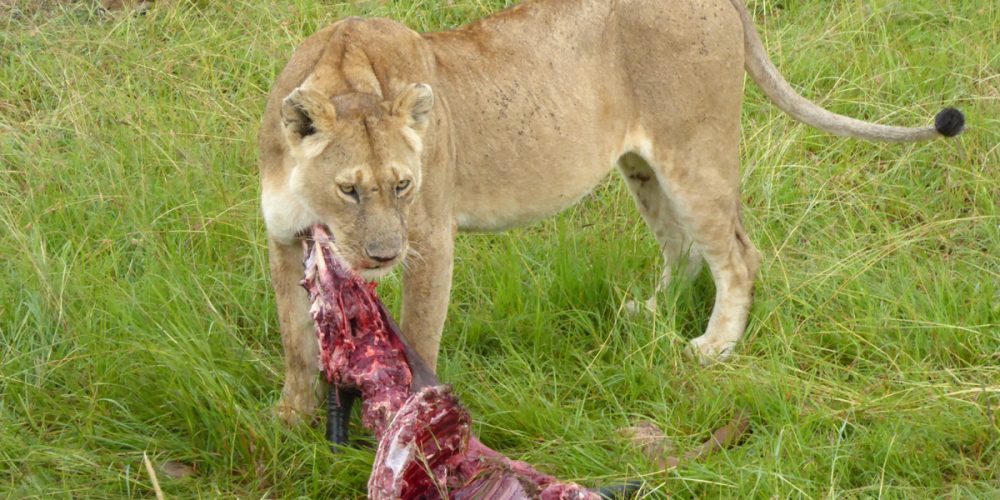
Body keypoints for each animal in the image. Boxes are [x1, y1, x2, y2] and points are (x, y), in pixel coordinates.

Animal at [259, 0, 964, 424]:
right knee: (682, 247)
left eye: (403, 185)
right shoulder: (283, 238)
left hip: (694, 150)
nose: (382, 255)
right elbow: (295, 341)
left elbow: (419, 338)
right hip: (642, 168)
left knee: (738, 255)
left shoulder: (430, 236)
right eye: (350, 190)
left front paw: (416, 431)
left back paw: (714, 347)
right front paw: (291, 421)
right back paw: (651, 314)